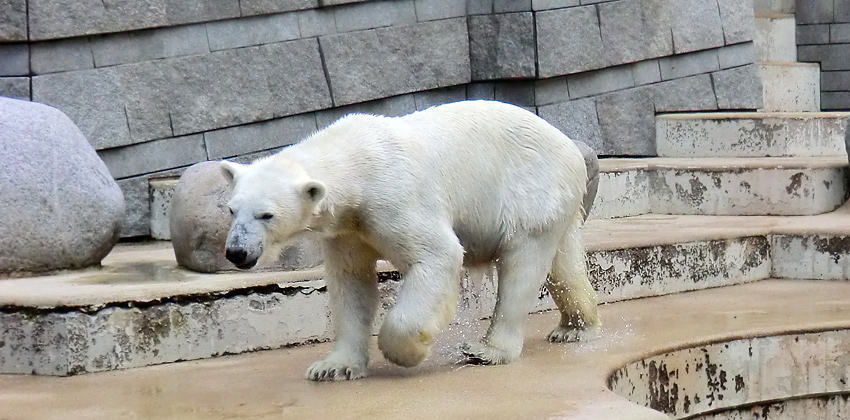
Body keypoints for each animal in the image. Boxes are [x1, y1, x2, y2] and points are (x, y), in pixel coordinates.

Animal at [222, 101, 600, 380]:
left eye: (266, 215)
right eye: (231, 210)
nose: (236, 252)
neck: (356, 162)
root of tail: (569, 145)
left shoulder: (393, 199)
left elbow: (438, 255)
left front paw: (408, 352)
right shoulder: (346, 230)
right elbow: (351, 283)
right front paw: (333, 367)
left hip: (531, 188)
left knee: (522, 263)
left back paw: (487, 350)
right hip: (554, 201)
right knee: (564, 263)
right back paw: (574, 328)